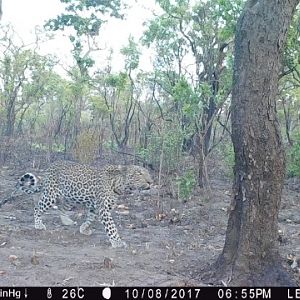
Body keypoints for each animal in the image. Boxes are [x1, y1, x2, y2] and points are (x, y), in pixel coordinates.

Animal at [16, 161, 152, 247]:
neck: (119, 184)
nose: (151, 182)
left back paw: (66, 221)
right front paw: (117, 242)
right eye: (139, 173)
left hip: (71, 197)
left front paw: (83, 229)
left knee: (62, 208)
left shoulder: (95, 207)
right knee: (37, 207)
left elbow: (90, 219)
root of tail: (50, 167)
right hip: (51, 195)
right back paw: (38, 224)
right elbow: (112, 227)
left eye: (148, 173)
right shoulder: (103, 209)